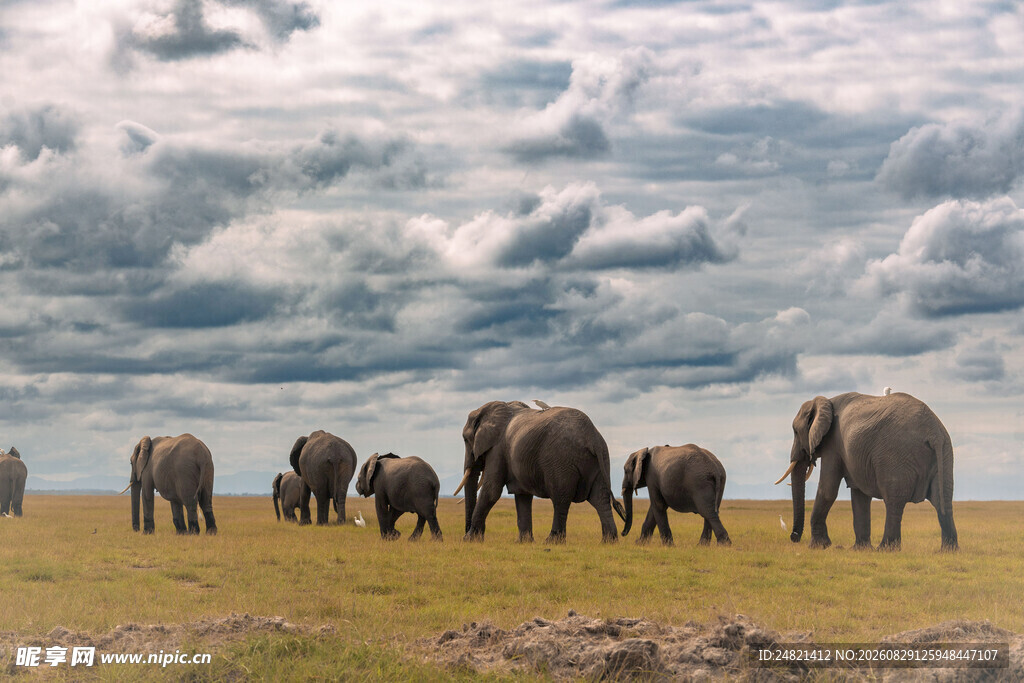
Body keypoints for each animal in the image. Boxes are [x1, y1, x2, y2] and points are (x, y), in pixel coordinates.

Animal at [455, 400, 626, 543]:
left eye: (465, 439)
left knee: (561, 498)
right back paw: (609, 541)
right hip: (601, 459)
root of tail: (592, 437)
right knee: (600, 498)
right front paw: (524, 543)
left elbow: (491, 491)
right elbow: (522, 495)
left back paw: (552, 541)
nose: (467, 530)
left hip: (561, 460)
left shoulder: (497, 449)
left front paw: (469, 540)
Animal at [776, 391, 957, 551]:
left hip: (896, 456)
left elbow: (828, 490)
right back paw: (948, 551)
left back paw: (885, 549)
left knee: (894, 501)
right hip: (945, 453)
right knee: (943, 500)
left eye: (795, 431)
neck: (825, 401)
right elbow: (860, 495)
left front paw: (818, 547)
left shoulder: (833, 445)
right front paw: (859, 549)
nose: (793, 537)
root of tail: (933, 432)